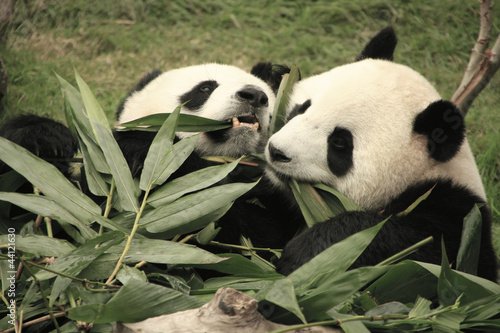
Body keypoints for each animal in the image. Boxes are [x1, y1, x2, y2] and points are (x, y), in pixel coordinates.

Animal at [264, 41, 498, 282]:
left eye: (339, 142)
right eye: (302, 108)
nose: (277, 151)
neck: (424, 174)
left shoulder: (457, 218)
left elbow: (413, 248)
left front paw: (307, 256)